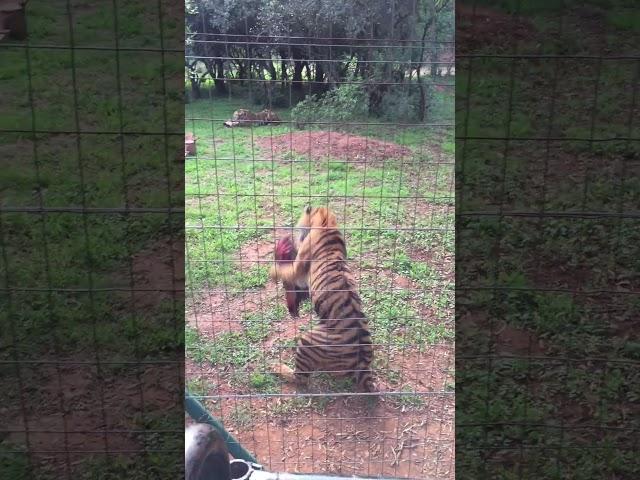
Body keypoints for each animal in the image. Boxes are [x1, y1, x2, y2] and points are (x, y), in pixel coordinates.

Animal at [268, 204, 378, 392]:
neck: (327, 222)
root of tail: (363, 364)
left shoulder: (299, 266)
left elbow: (285, 270)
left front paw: (272, 271)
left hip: (308, 341)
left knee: (300, 379)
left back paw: (278, 367)